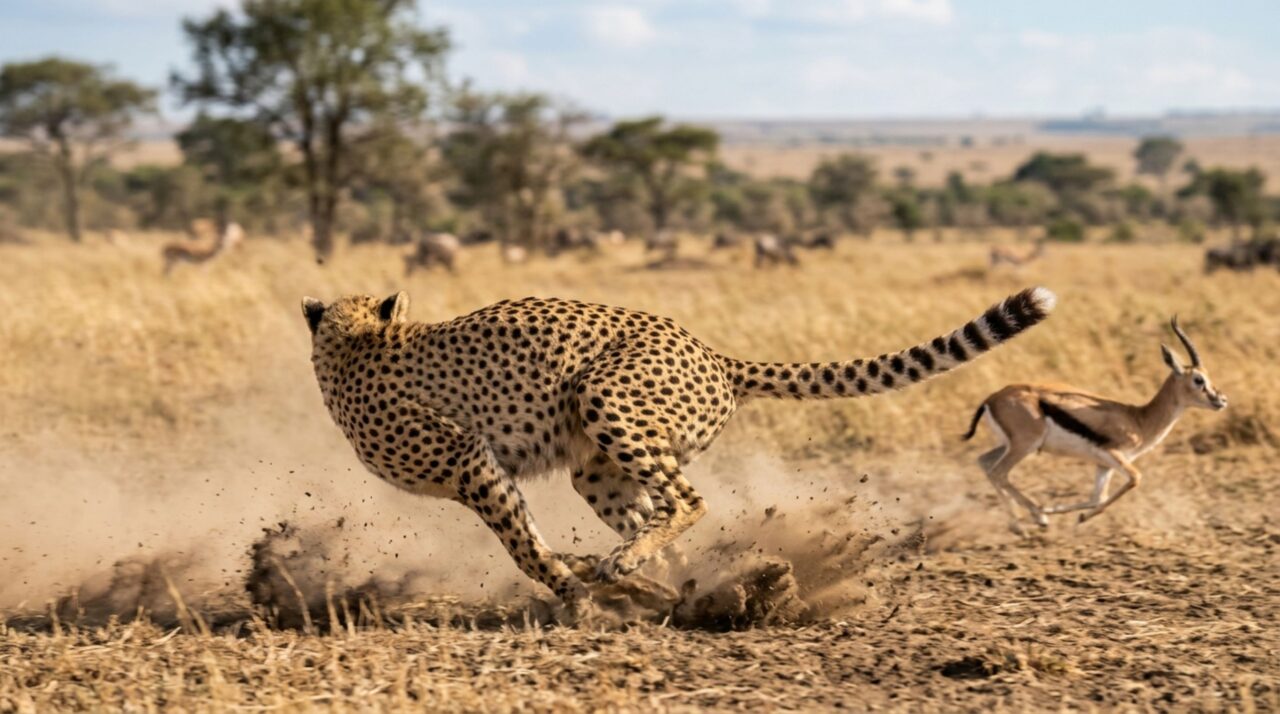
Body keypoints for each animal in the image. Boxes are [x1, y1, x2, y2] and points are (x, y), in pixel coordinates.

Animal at [301, 286, 1056, 614]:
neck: (354, 347)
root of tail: (713, 352)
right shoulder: (481, 470)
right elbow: (531, 540)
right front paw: (599, 583)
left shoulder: (470, 463)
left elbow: (524, 548)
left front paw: (571, 588)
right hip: (595, 467)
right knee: (655, 517)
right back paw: (666, 582)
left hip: (604, 397)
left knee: (689, 502)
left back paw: (629, 570)